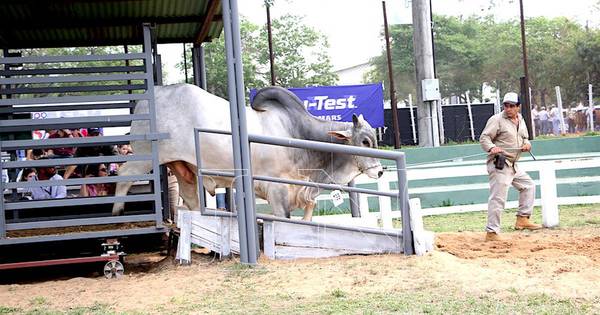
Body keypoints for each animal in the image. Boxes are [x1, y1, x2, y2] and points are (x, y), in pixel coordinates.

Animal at [112, 85, 382, 221]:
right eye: (365, 141)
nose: (380, 171)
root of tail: (149, 96)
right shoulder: (277, 189)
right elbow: (284, 217)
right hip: (145, 156)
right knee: (124, 175)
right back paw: (117, 213)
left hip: (182, 167)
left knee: (190, 197)